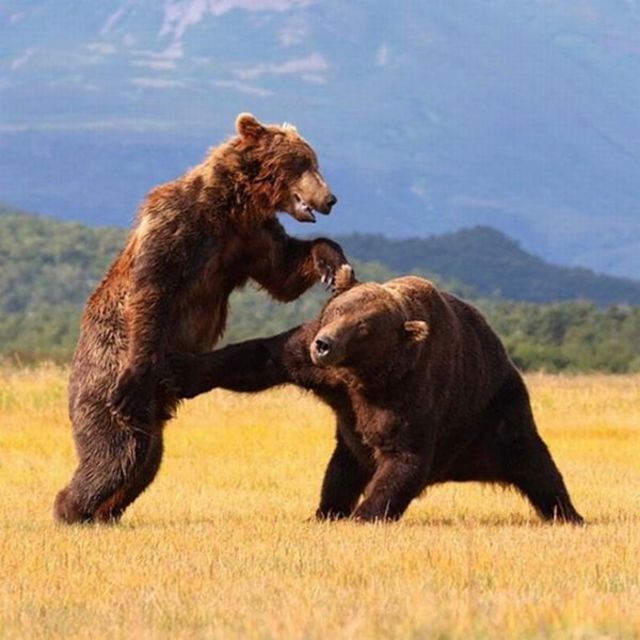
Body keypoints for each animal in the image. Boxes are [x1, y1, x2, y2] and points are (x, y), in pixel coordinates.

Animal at [54, 113, 348, 524]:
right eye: (303, 162)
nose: (330, 198)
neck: (233, 207)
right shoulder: (179, 225)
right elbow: (153, 289)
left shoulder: (249, 239)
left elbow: (284, 272)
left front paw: (333, 263)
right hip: (104, 379)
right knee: (117, 451)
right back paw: (71, 508)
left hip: (154, 411)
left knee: (145, 461)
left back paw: (104, 513)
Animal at [168, 267, 584, 524]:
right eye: (337, 309)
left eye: (363, 327)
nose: (324, 344)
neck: (361, 374)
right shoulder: (323, 373)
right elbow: (262, 358)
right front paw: (182, 371)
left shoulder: (405, 394)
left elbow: (404, 458)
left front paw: (366, 514)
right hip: (353, 445)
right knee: (339, 472)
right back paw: (325, 511)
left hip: (497, 409)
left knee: (533, 461)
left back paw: (568, 514)